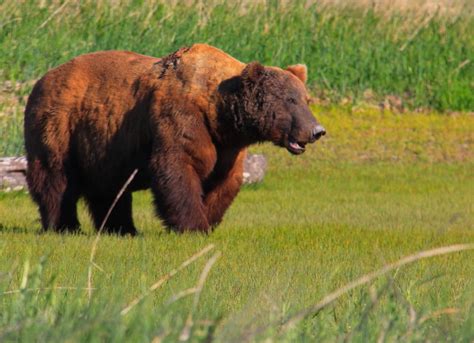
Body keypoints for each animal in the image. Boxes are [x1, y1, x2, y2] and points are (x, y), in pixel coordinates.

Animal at [25, 43, 326, 236]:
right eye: (290, 100)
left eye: (305, 99)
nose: (317, 130)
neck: (218, 111)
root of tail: (42, 78)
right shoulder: (181, 116)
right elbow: (178, 166)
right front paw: (193, 226)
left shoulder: (225, 145)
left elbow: (224, 181)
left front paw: (209, 220)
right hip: (60, 123)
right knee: (56, 177)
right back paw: (64, 226)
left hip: (103, 143)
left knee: (109, 188)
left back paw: (122, 229)